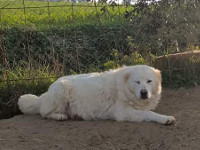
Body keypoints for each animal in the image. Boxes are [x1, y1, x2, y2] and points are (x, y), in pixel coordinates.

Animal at [18, 65, 175, 125]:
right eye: (137, 82)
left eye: (149, 81)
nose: (143, 92)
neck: (124, 88)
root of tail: (45, 94)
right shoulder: (124, 113)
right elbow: (149, 113)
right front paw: (165, 118)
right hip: (62, 91)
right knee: (44, 113)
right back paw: (60, 116)